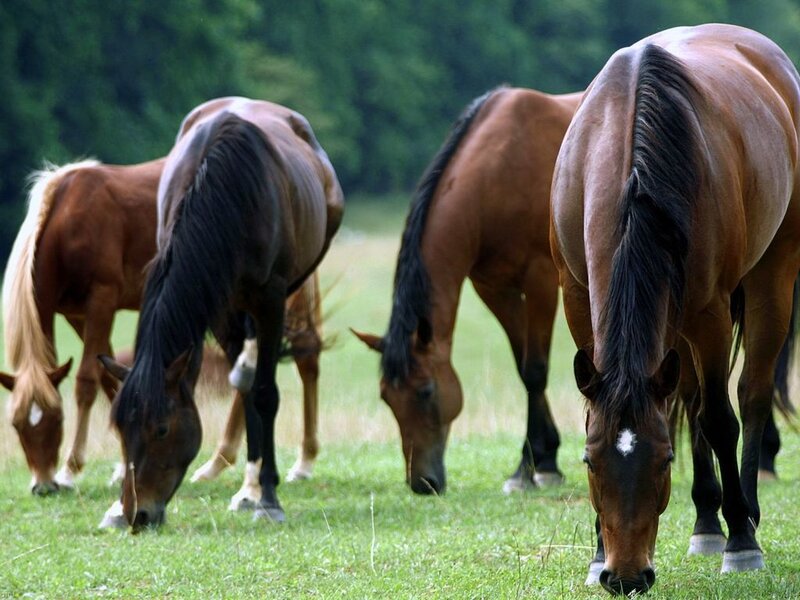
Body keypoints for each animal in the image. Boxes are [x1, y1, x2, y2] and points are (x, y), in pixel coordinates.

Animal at [99, 97, 343, 530]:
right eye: (120, 429)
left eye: (162, 430)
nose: (137, 513)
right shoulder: (217, 304)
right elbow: (246, 393)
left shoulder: (270, 299)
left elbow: (264, 394)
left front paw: (269, 499)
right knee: (243, 382)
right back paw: (248, 484)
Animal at [354, 87, 582, 494]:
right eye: (386, 397)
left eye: (426, 391)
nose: (422, 483)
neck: (498, 175)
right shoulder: (495, 289)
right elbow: (522, 367)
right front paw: (542, 459)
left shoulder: (540, 280)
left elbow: (535, 370)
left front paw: (531, 469)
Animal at [550, 24, 800, 594]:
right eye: (589, 461)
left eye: (665, 460)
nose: (625, 577)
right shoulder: (576, 297)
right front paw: (596, 553)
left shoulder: (709, 314)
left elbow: (719, 420)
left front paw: (742, 543)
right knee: (685, 394)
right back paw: (707, 522)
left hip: (771, 275)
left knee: (751, 394)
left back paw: (744, 516)